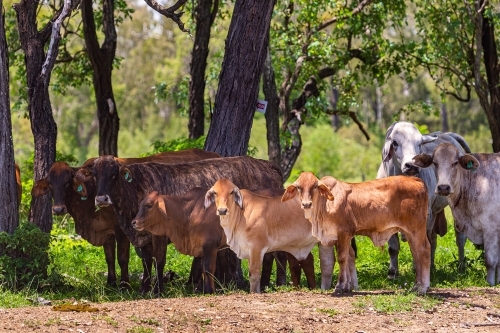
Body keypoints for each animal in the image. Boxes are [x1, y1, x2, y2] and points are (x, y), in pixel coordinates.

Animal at [204, 178, 340, 292]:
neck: (241, 214)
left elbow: (254, 274)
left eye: (231, 192)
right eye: (215, 193)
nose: (222, 210)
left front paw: (254, 292)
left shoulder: (257, 248)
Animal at [282, 171, 430, 294]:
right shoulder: (340, 237)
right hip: (409, 232)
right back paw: (416, 286)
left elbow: (342, 258)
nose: (306, 204)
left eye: (314, 186)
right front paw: (347, 286)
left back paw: (423, 288)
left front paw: (340, 286)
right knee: (416, 253)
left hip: (416, 228)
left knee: (424, 250)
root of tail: (416, 179)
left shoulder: (344, 233)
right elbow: (349, 257)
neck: (325, 205)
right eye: (299, 187)